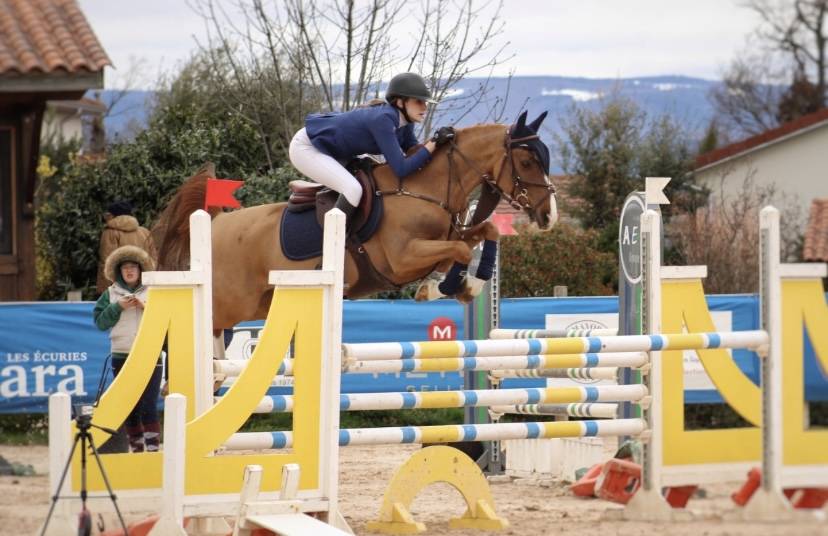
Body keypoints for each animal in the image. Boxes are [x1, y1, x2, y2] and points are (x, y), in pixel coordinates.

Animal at [152, 111, 557, 331]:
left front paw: (464, 283)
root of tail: (217, 224)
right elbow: (457, 249)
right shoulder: (401, 259)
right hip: (227, 305)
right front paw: (453, 286)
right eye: (526, 161)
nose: (550, 215)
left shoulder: (445, 237)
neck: (422, 188)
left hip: (260, 304)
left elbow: (482, 232)